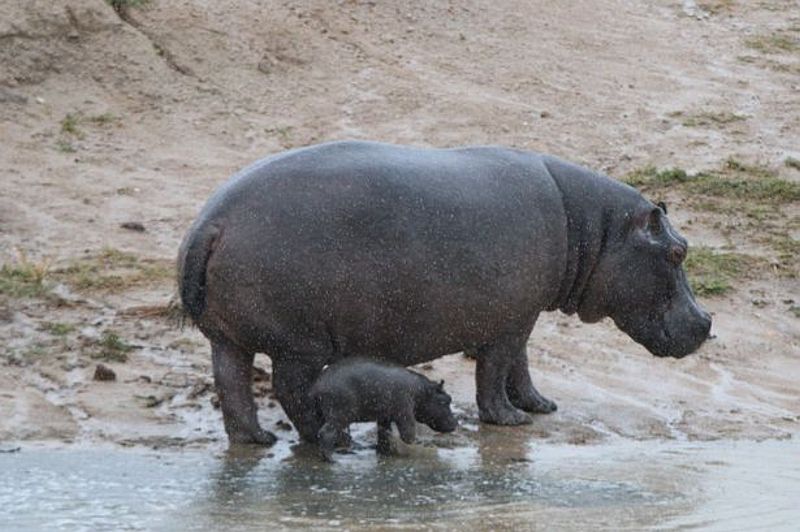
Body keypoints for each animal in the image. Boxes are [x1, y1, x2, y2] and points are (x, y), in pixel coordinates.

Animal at [178, 140, 708, 444]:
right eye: (677, 251)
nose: (706, 322)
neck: (595, 230)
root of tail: (210, 222)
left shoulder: (523, 312)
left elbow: (521, 365)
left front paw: (541, 406)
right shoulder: (510, 319)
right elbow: (496, 370)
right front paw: (510, 420)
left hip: (228, 337)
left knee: (232, 386)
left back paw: (257, 441)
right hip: (299, 345)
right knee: (289, 391)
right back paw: (327, 440)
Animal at [306, 358, 456, 462]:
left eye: (450, 398)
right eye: (446, 400)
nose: (456, 423)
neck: (422, 391)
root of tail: (318, 384)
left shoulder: (385, 416)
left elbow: (384, 434)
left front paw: (384, 453)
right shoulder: (405, 413)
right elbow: (408, 435)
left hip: (320, 414)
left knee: (316, 431)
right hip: (339, 415)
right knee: (326, 433)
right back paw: (332, 460)